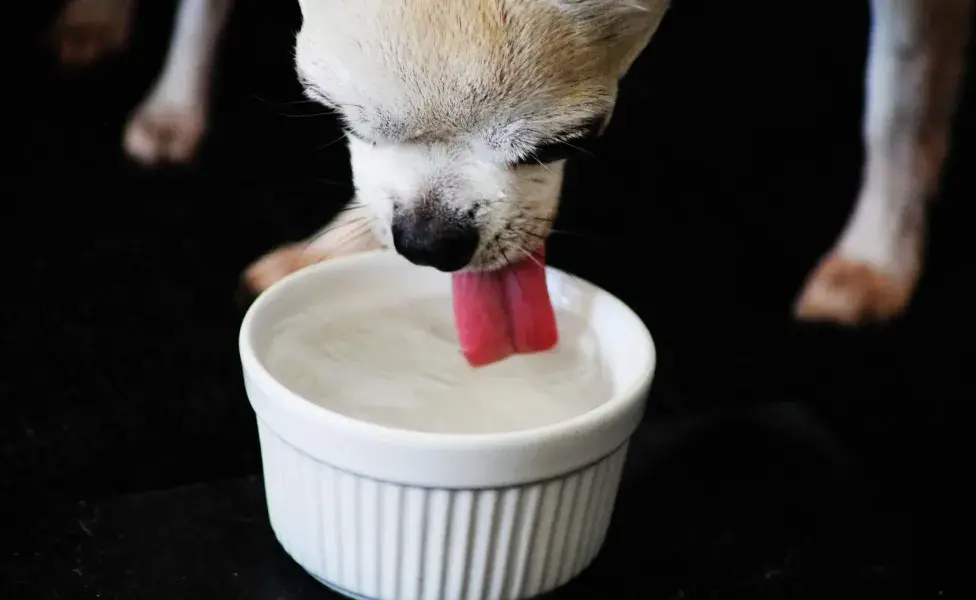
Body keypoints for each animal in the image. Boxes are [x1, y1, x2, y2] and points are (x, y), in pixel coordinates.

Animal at [55, 0, 976, 326]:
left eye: (572, 140)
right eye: (331, 113)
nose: (429, 242)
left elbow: (900, 102)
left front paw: (876, 257)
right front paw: (175, 103)